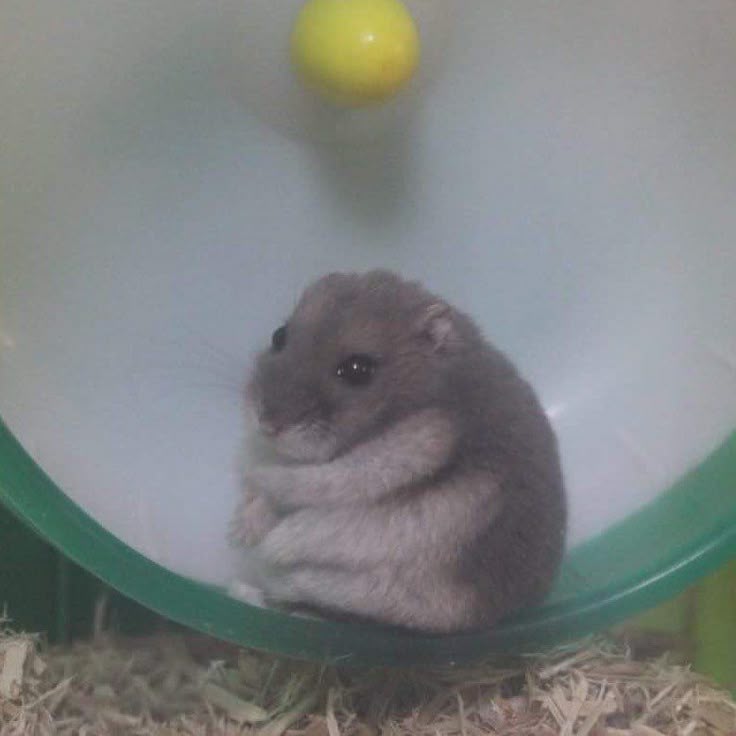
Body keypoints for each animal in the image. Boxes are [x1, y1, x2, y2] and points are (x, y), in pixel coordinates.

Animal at [230, 269, 566, 633]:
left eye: (358, 369)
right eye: (279, 335)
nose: (267, 423)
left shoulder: (402, 454)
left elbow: (290, 487)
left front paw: (252, 536)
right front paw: (240, 532)